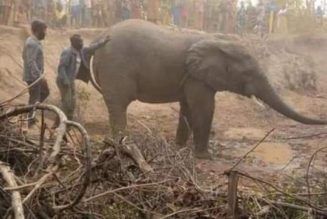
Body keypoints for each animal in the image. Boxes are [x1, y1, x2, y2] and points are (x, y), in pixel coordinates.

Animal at [85, 19, 327, 159]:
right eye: (248, 73)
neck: (218, 41)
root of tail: (98, 39)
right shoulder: (197, 78)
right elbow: (204, 108)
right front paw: (204, 157)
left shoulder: (191, 77)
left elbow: (187, 107)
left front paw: (180, 148)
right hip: (115, 67)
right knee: (118, 105)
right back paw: (123, 147)